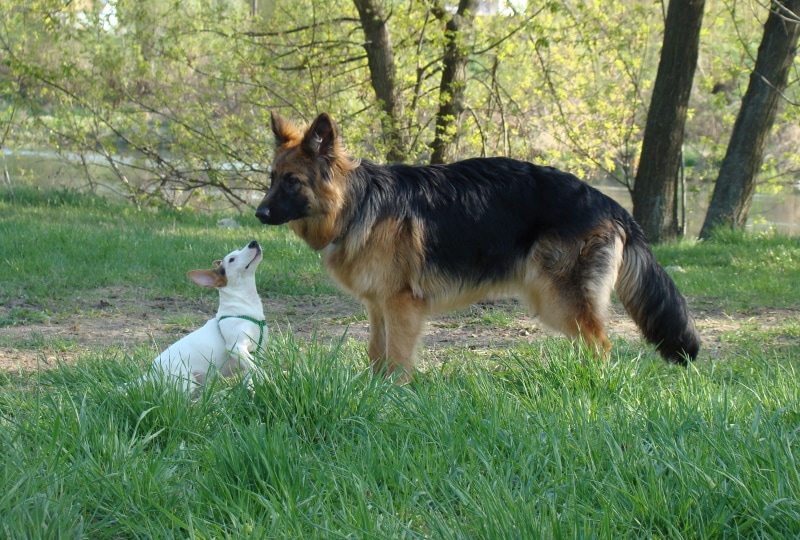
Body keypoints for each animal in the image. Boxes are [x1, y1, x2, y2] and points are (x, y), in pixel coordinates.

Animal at [141, 240, 268, 392]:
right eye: (231, 259)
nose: (253, 242)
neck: (245, 307)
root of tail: (149, 375)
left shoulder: (255, 353)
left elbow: (252, 371)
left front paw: (253, 388)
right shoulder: (236, 347)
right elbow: (257, 369)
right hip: (186, 381)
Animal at [258, 112, 700, 382]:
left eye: (292, 181)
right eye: (271, 178)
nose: (259, 213)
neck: (358, 203)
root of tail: (609, 202)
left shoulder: (401, 304)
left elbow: (398, 359)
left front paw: (393, 399)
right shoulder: (378, 304)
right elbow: (376, 354)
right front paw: (373, 392)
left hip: (559, 297)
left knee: (602, 346)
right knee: (590, 343)